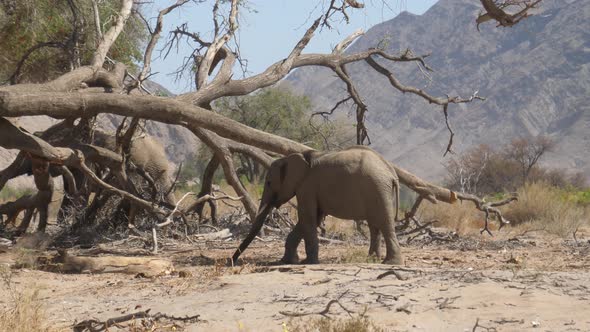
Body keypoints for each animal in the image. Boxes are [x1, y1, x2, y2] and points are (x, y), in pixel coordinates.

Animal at [234, 147, 404, 266]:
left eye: (269, 183)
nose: (232, 260)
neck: (294, 157)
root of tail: (392, 173)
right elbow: (311, 220)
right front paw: (288, 261)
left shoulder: (307, 188)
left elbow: (307, 218)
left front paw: (308, 263)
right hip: (378, 190)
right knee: (374, 225)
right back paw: (372, 260)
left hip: (378, 188)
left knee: (384, 223)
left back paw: (390, 263)